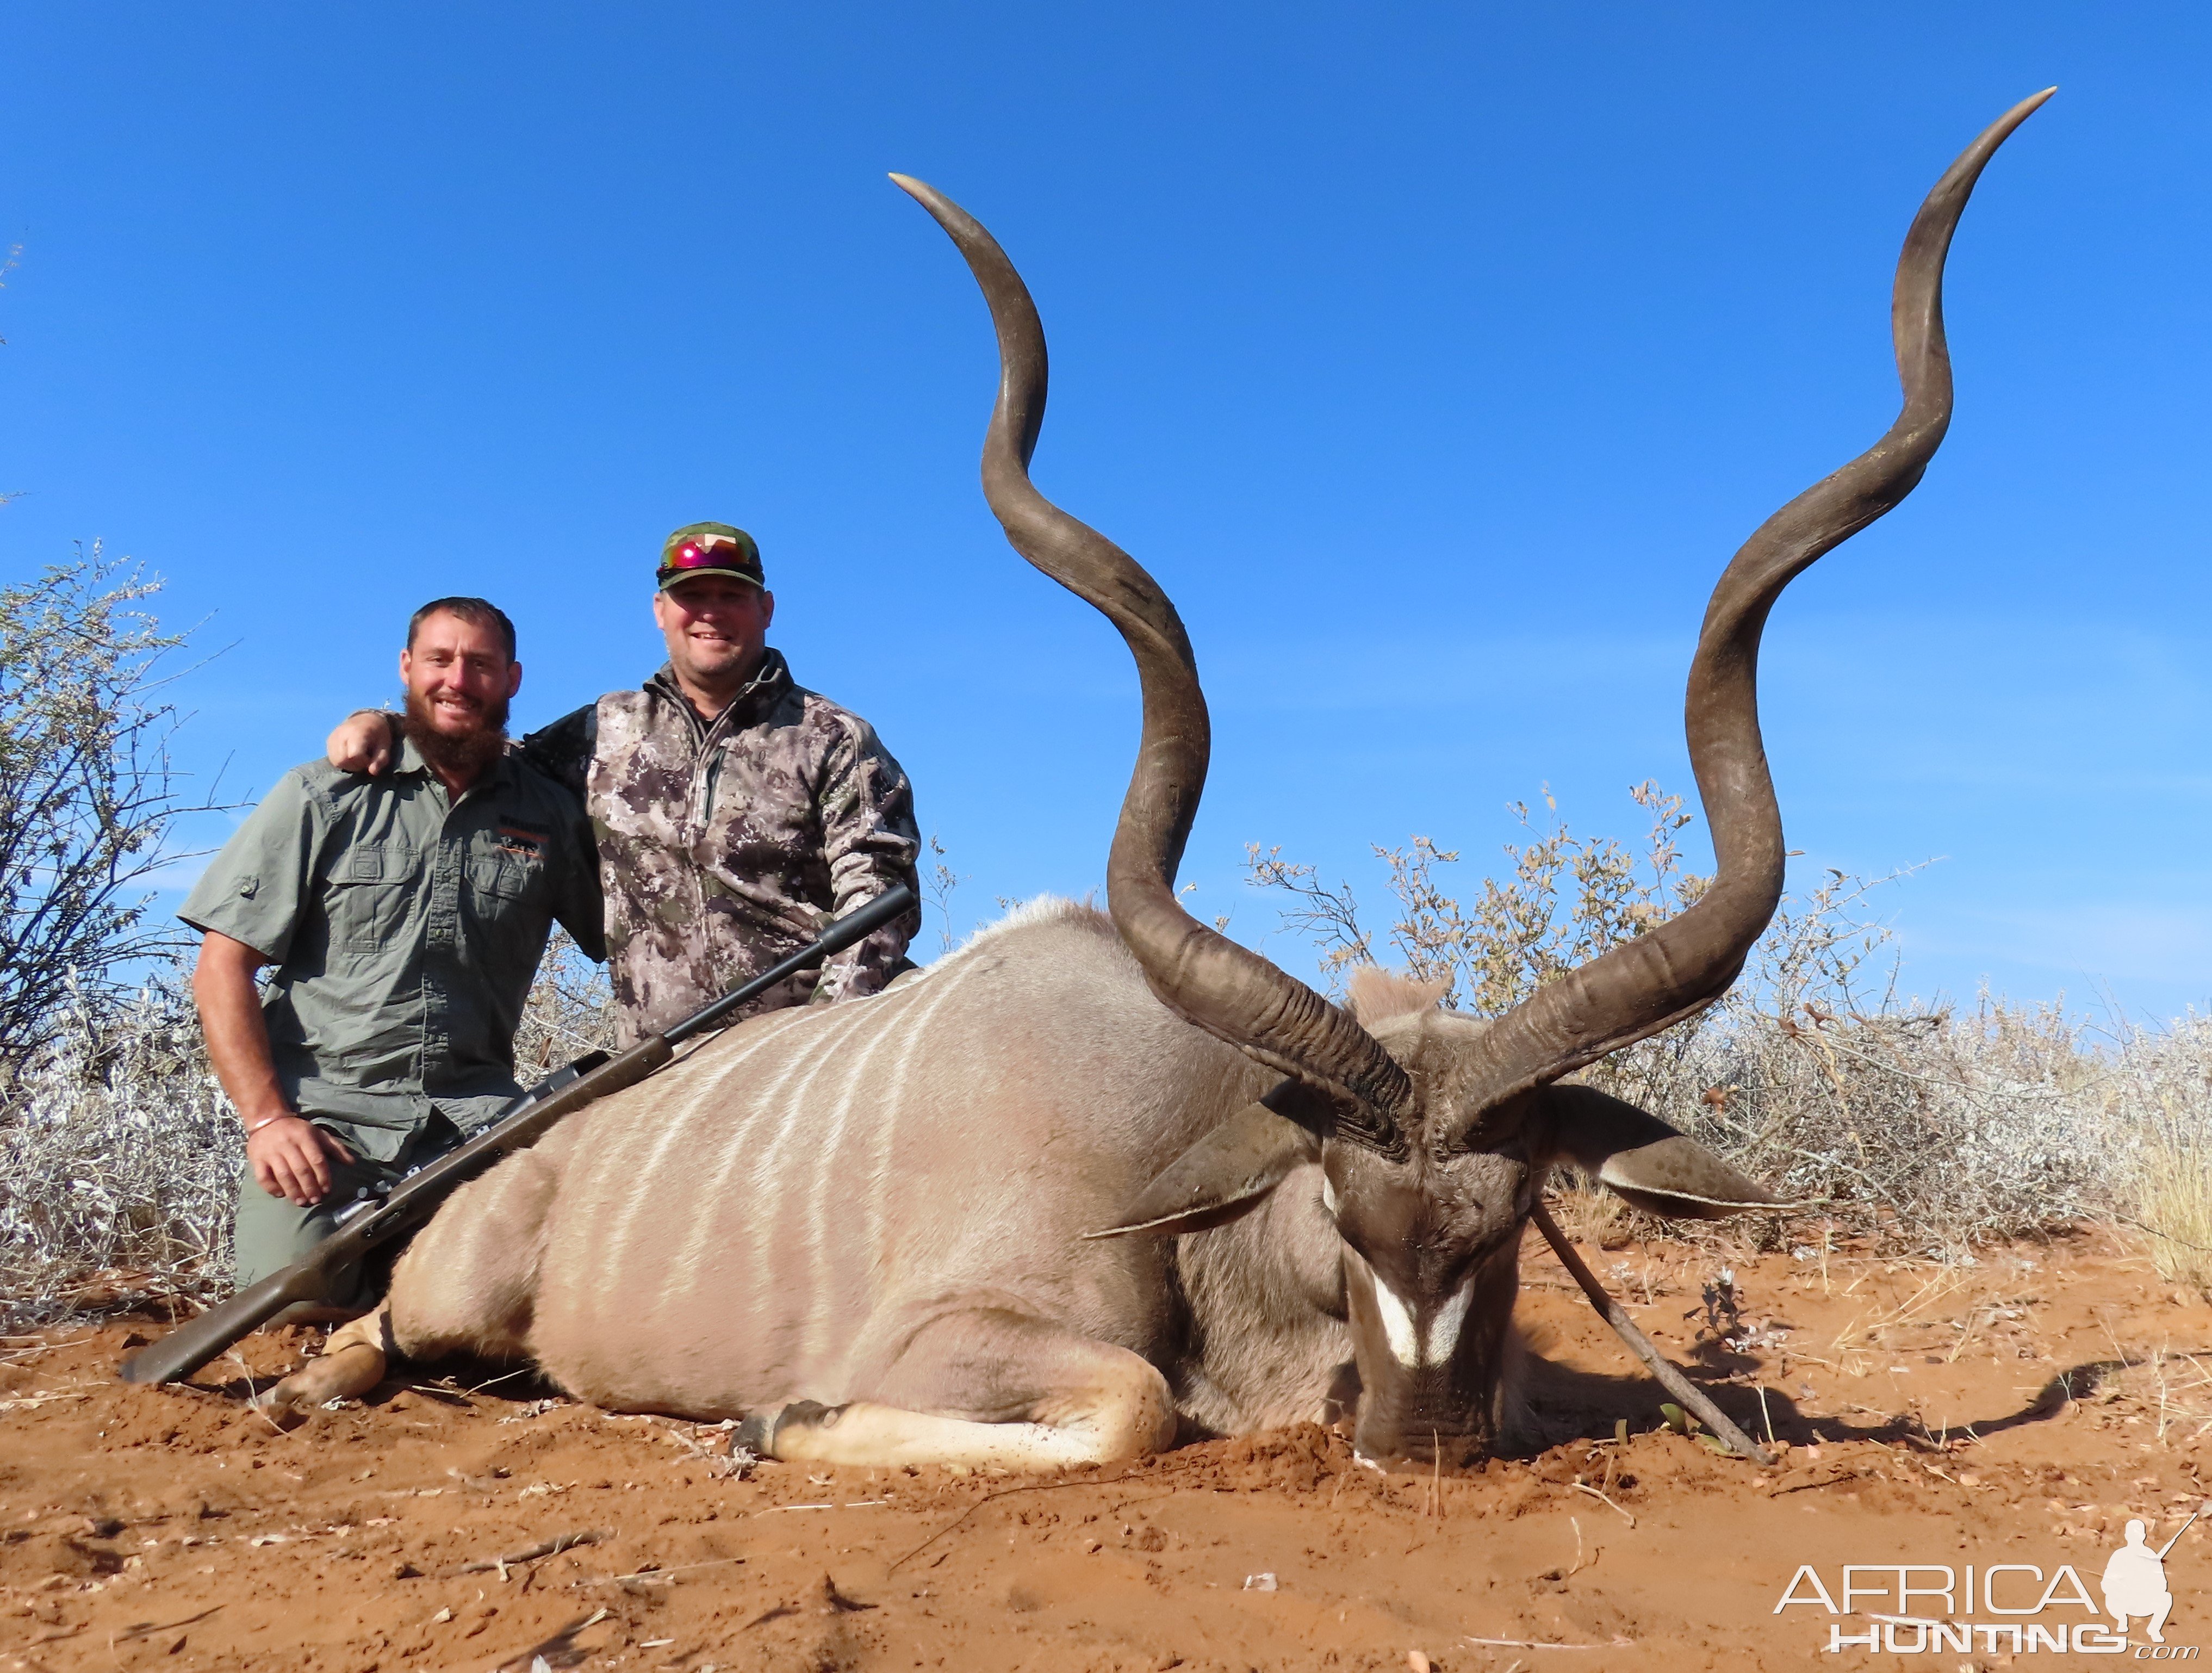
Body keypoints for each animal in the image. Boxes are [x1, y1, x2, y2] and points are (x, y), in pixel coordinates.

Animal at [268, 98, 2043, 1469]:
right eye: (1341, 1207)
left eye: (1510, 1209)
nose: (1415, 1439)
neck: (1187, 1157)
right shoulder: (967, 1329)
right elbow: (1129, 1406)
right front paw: (775, 1418)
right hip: (447, 1293)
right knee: (371, 1335)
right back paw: (304, 1384)